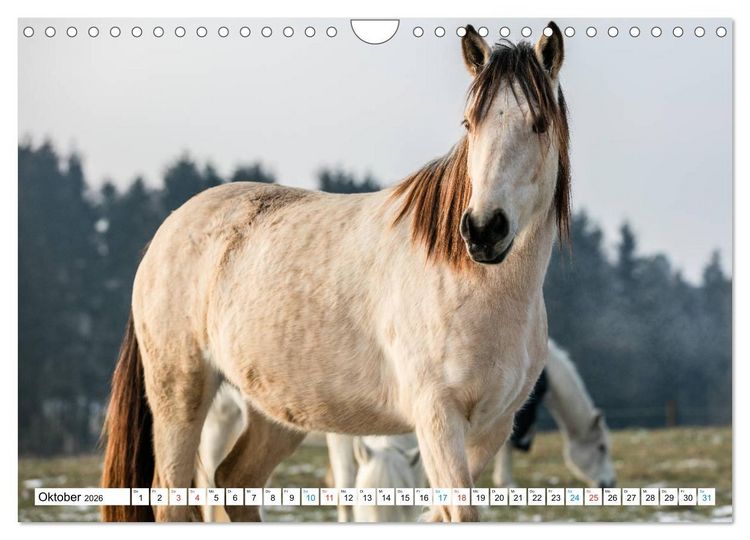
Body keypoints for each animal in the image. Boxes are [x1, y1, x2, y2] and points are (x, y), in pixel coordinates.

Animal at [101, 22, 571, 522]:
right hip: (181, 392)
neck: (473, 287)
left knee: (234, 481)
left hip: (276, 409)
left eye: (540, 124)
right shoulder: (437, 418)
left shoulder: (493, 427)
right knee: (172, 496)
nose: (483, 230)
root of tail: (168, 229)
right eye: (469, 124)